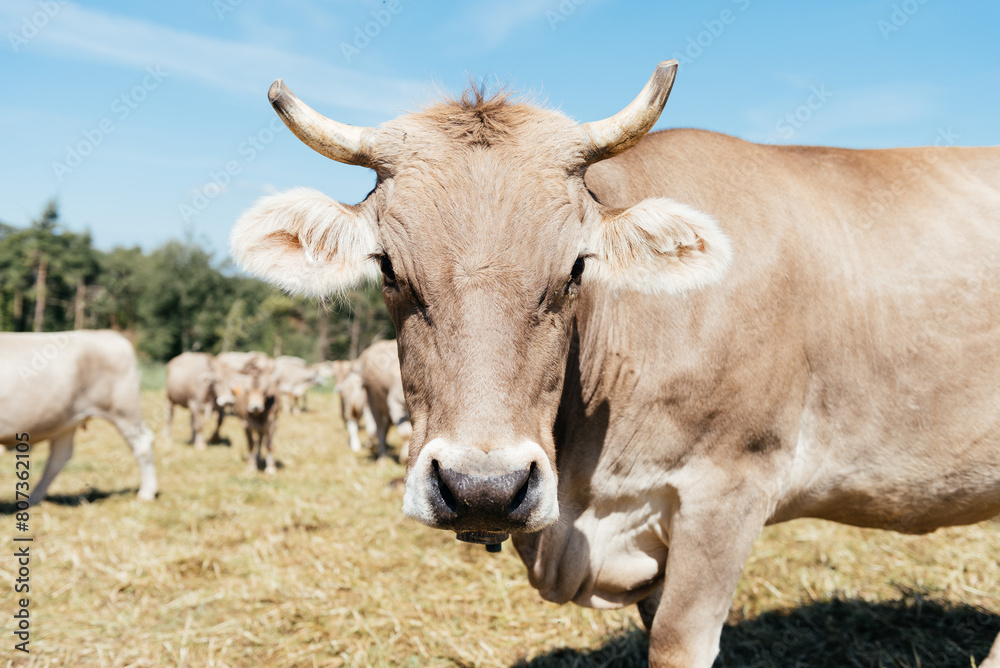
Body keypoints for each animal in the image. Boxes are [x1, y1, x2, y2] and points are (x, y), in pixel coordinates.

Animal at [0, 332, 157, 504]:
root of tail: (109, 335)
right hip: (66, 421)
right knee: (59, 456)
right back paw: (33, 498)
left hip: (123, 409)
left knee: (142, 443)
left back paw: (146, 493)